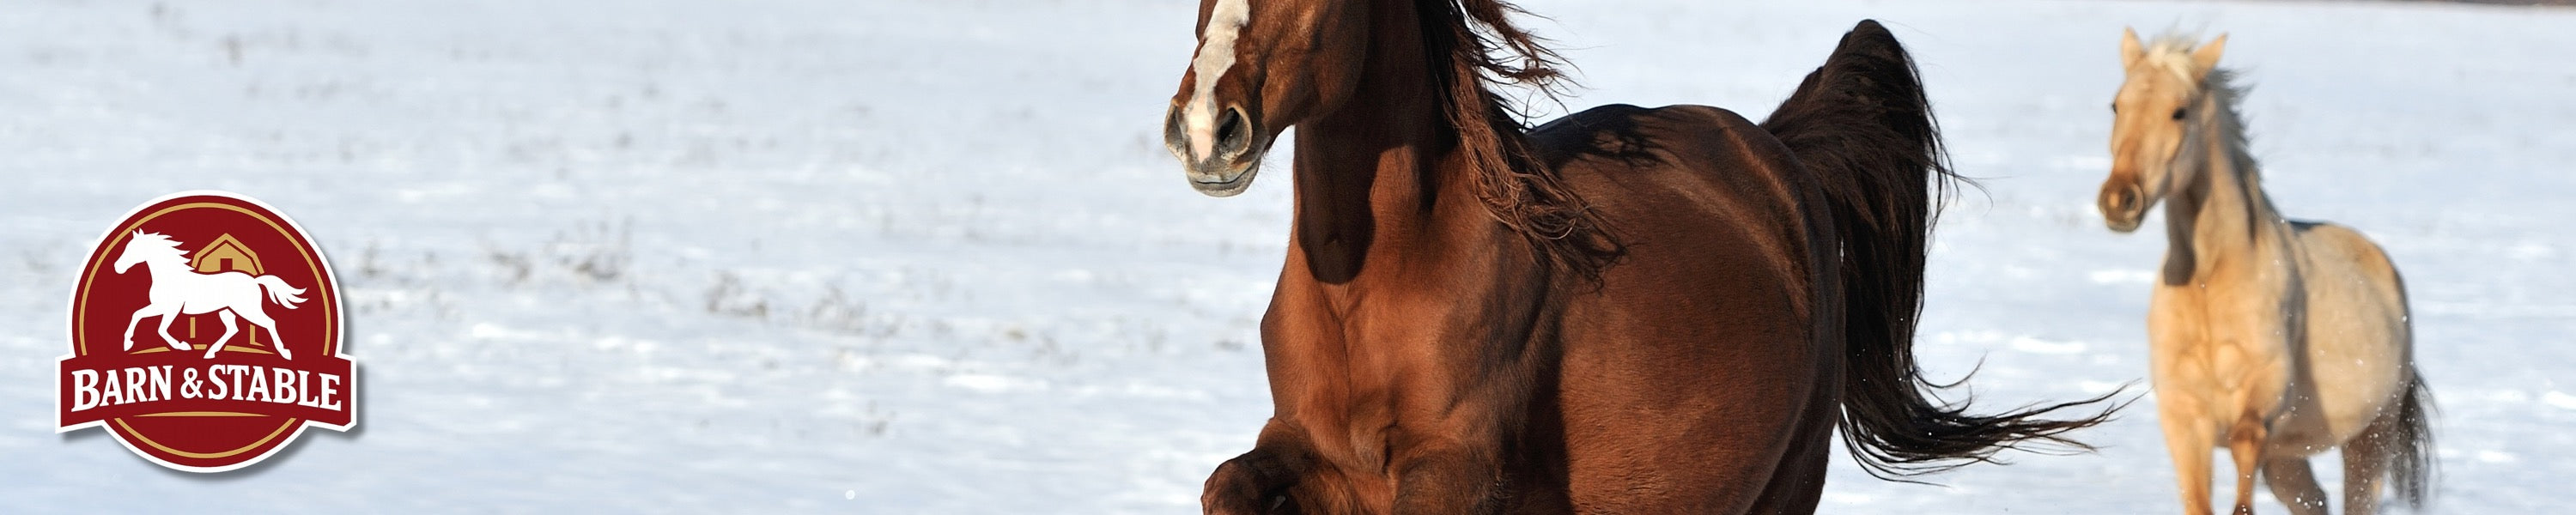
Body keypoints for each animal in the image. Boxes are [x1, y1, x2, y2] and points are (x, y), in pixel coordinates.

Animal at [113, 231, 308, 360]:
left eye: (132, 249)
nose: (117, 267)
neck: (170, 277)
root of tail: (254, 280)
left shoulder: (172, 309)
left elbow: (161, 329)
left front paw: (183, 346)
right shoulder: (160, 307)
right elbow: (137, 315)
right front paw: (127, 343)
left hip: (247, 310)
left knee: (269, 322)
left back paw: (285, 353)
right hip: (226, 311)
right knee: (233, 329)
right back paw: (210, 352)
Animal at [1159, 1, 2119, 512]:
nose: (1207, 128)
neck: (1381, 285)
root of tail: (1778, 155)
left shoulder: (1454, 475)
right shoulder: (1310, 454)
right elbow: (1225, 485)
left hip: (1786, 485)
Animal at [2096, 29, 2435, 515]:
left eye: (2180, 110)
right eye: (2116, 105)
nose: (2119, 200)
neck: (2210, 283)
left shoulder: (2263, 398)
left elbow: (2243, 456)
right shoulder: (2182, 416)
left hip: (2370, 437)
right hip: (2288, 458)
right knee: (2315, 501)